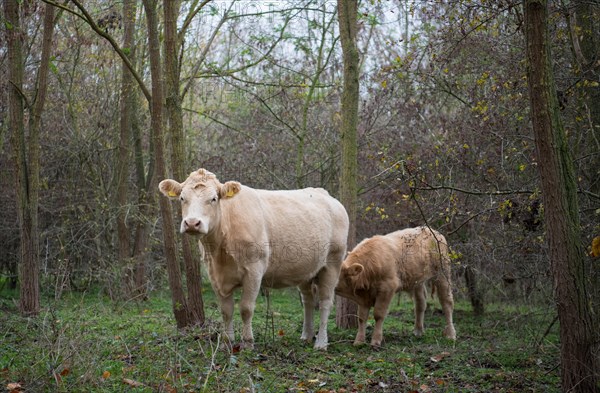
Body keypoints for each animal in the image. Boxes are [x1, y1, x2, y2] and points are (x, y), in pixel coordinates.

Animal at [159, 168, 350, 350]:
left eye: (213, 199)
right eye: (182, 198)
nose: (192, 223)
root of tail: (327, 195)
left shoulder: (254, 271)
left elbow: (246, 308)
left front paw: (248, 342)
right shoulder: (215, 275)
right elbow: (226, 310)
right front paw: (227, 343)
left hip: (332, 263)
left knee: (325, 302)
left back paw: (321, 343)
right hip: (306, 269)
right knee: (308, 300)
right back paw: (306, 336)